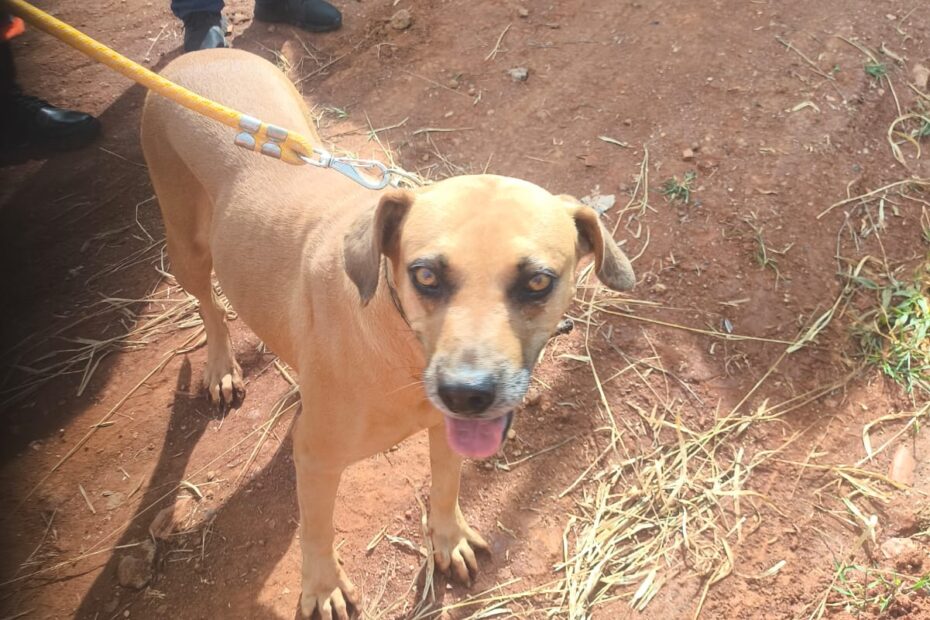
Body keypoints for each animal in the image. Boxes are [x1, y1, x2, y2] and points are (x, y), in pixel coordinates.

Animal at [140, 48, 634, 618]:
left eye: (538, 281)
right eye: (426, 275)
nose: (466, 394)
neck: (401, 346)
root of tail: (199, 53)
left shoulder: (444, 430)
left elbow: (446, 485)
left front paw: (447, 539)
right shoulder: (316, 456)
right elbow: (315, 528)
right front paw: (323, 586)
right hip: (186, 245)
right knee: (208, 304)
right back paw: (221, 366)